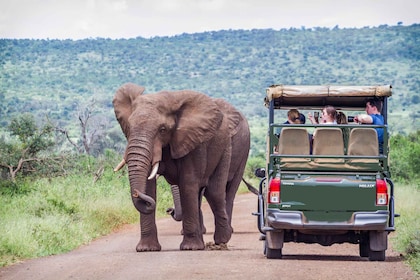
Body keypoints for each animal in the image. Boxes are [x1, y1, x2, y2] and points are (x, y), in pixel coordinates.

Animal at [112, 83, 249, 252]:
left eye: (162, 129)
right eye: (129, 128)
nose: (168, 209)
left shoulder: (194, 141)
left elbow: (188, 183)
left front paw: (190, 248)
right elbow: (149, 186)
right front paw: (147, 249)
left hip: (228, 148)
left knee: (216, 193)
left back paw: (221, 241)